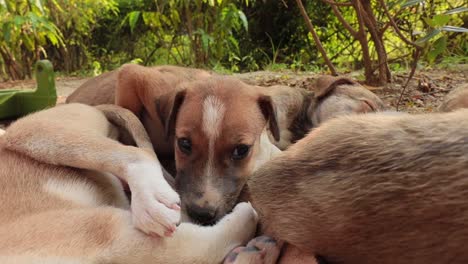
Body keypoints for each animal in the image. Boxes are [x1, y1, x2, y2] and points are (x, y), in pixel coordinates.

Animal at [0, 103, 258, 264]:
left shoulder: (108, 234)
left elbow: (198, 251)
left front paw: (248, 216)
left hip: (38, 135)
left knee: (136, 155)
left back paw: (151, 200)